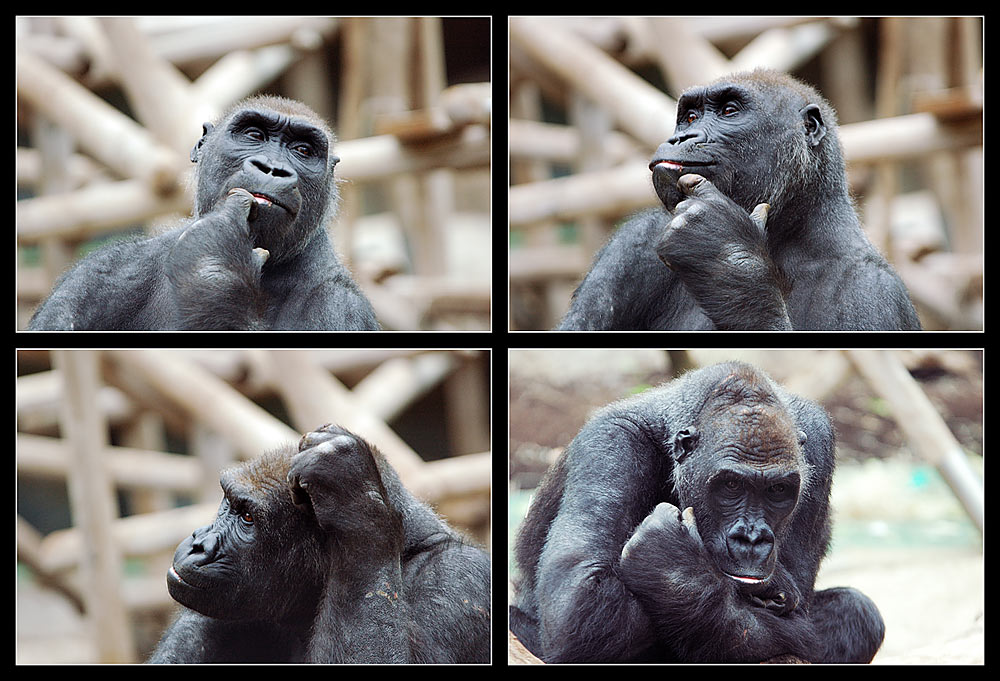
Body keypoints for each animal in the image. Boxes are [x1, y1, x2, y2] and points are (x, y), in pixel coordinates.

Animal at [29, 95, 378, 330]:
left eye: (303, 150)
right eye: (254, 135)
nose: (272, 168)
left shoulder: (340, 308)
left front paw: (214, 263)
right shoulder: (99, 274)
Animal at [512, 364, 888, 660]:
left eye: (778, 490)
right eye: (732, 485)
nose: (752, 538)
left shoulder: (819, 441)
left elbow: (799, 609)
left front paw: (672, 567)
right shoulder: (611, 443)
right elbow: (582, 601)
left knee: (856, 613)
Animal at [560, 70, 916, 330]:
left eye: (729, 111)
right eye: (690, 117)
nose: (680, 137)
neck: (789, 236)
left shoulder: (872, 293)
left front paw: (725, 256)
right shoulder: (631, 245)